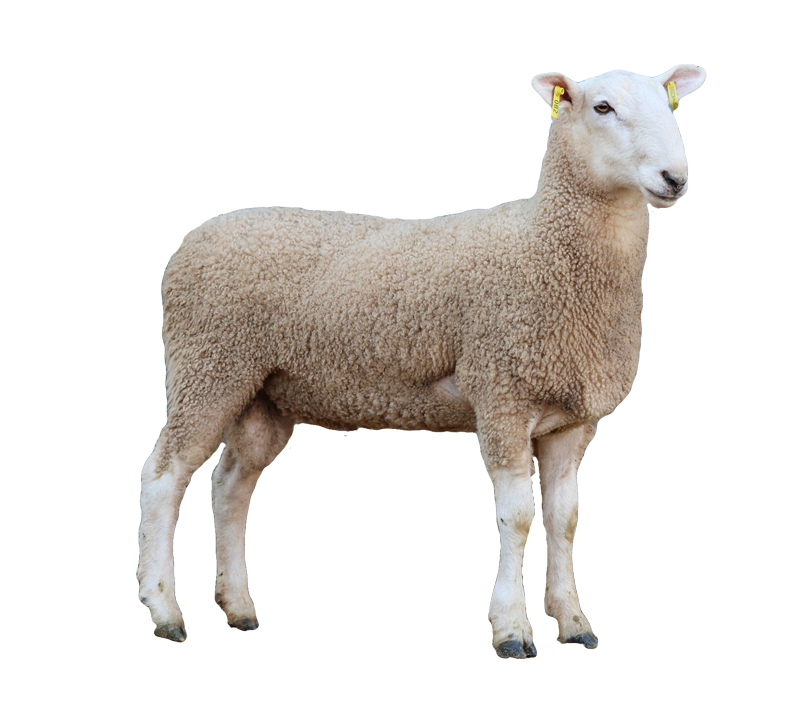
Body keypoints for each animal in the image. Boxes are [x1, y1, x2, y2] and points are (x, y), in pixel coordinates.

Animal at [139, 64, 707, 654]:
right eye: (602, 107)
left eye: (670, 106)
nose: (675, 177)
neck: (546, 244)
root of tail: (196, 239)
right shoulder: (501, 392)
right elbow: (518, 519)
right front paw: (512, 627)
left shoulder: (571, 417)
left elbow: (564, 519)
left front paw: (572, 620)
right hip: (209, 364)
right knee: (163, 478)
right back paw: (165, 612)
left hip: (260, 389)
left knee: (231, 486)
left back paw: (240, 608)